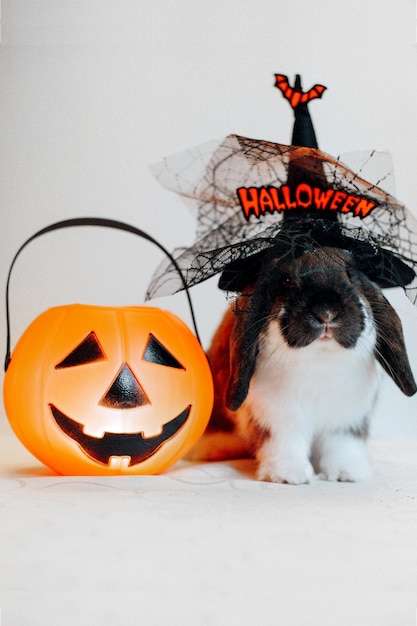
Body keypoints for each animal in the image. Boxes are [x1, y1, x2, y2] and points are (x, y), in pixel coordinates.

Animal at [189, 244, 416, 482]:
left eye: (351, 274)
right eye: (286, 280)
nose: (326, 312)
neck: (319, 361)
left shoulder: (346, 420)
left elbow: (342, 446)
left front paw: (347, 473)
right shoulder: (276, 418)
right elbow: (284, 444)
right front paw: (288, 475)